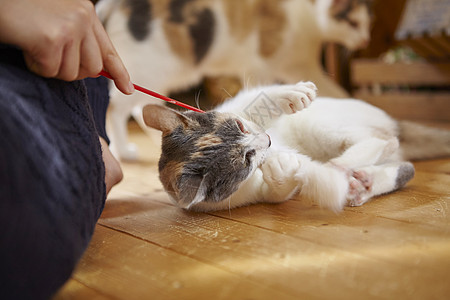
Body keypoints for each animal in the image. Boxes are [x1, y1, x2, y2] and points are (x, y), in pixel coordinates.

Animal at [96, 0, 372, 159]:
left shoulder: (298, 62)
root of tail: (110, 5)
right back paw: (122, 151)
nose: (365, 41)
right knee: (115, 109)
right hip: (145, 70)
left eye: (368, 23)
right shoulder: (267, 62)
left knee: (140, 107)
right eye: (353, 22)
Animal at [142, 82, 450, 212]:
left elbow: (263, 95)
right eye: (247, 160)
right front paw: (282, 168)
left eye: (240, 126)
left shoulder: (246, 104)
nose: (267, 140)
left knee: (384, 141)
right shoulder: (255, 193)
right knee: (397, 158)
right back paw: (357, 181)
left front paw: (294, 94)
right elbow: (278, 192)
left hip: (324, 127)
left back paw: (345, 168)